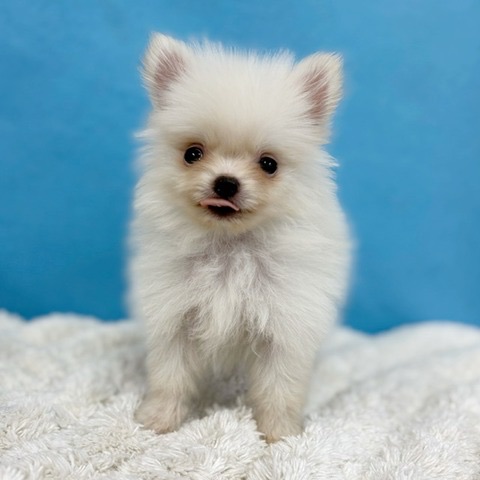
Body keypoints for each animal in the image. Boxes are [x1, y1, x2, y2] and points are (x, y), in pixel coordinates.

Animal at [131, 33, 351, 443]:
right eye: (192, 153)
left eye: (269, 164)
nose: (226, 182)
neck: (230, 246)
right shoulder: (174, 317)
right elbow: (170, 377)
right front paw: (157, 420)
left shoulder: (285, 325)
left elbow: (280, 389)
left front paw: (280, 434)